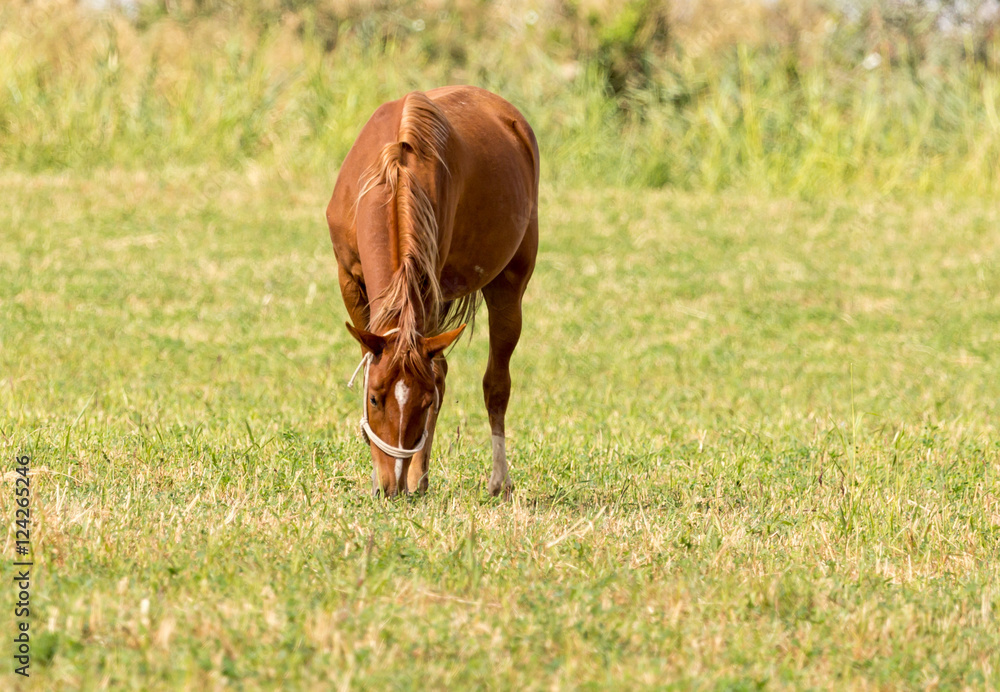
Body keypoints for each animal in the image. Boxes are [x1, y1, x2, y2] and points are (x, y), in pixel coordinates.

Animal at [326, 86, 539, 497]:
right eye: (374, 398)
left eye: (424, 403)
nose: (391, 486)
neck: (394, 176)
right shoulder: (349, 280)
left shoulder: (428, 285)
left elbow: (440, 376)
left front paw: (411, 474)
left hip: (508, 286)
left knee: (495, 385)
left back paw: (494, 480)